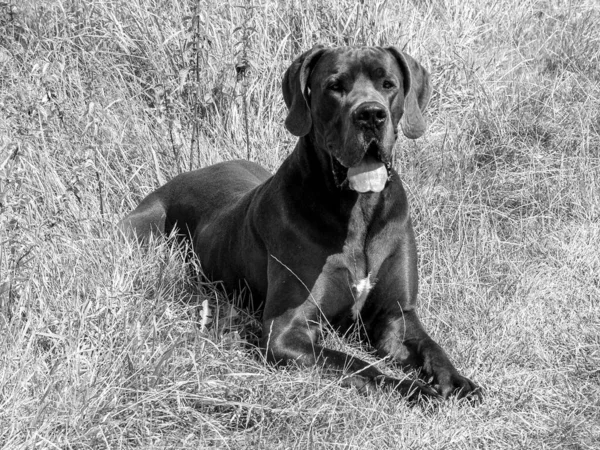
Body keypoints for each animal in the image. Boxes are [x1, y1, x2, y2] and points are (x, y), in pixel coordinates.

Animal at [119, 45, 480, 400]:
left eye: (388, 84)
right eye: (335, 86)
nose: (371, 115)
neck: (357, 209)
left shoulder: (396, 316)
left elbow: (431, 347)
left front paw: (456, 380)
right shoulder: (285, 332)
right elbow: (356, 364)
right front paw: (410, 387)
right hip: (141, 230)